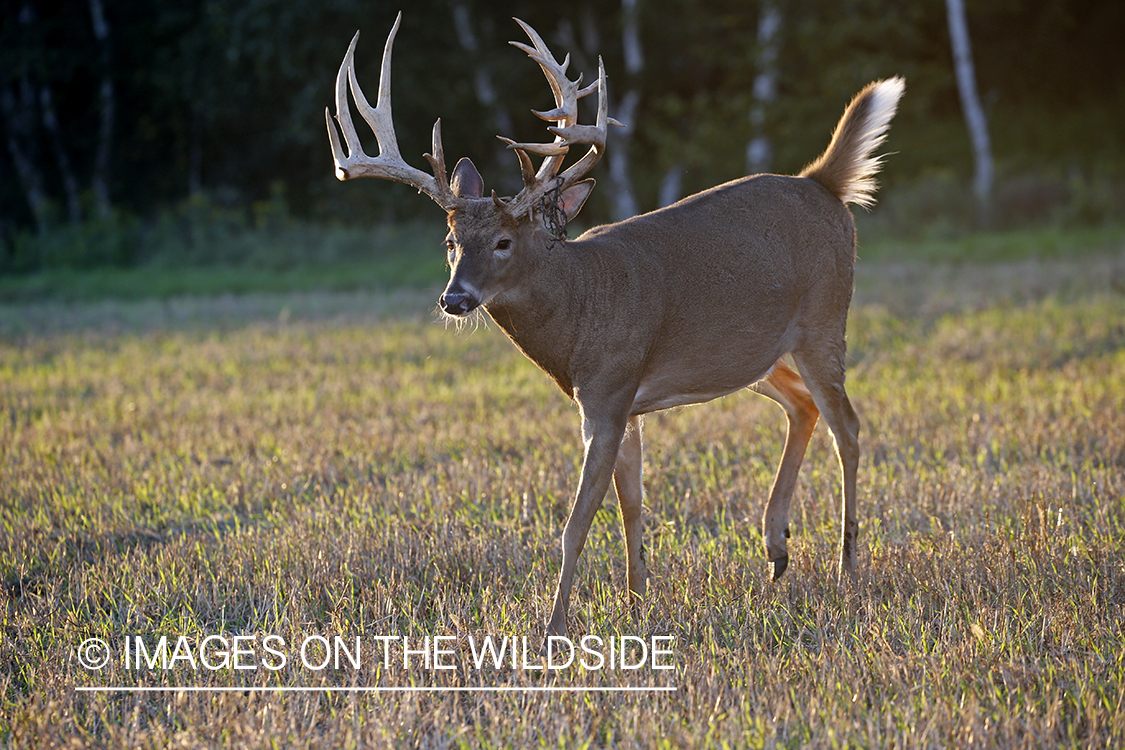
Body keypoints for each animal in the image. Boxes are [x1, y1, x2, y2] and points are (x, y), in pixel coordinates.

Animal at [328, 14, 904, 638]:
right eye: (451, 242)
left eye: (503, 242)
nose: (454, 299)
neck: (581, 310)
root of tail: (822, 182)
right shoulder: (625, 403)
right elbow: (632, 506)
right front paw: (636, 602)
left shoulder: (608, 395)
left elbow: (576, 524)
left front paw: (555, 627)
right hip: (753, 355)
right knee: (802, 406)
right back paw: (776, 549)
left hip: (825, 319)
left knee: (847, 425)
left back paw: (847, 570)